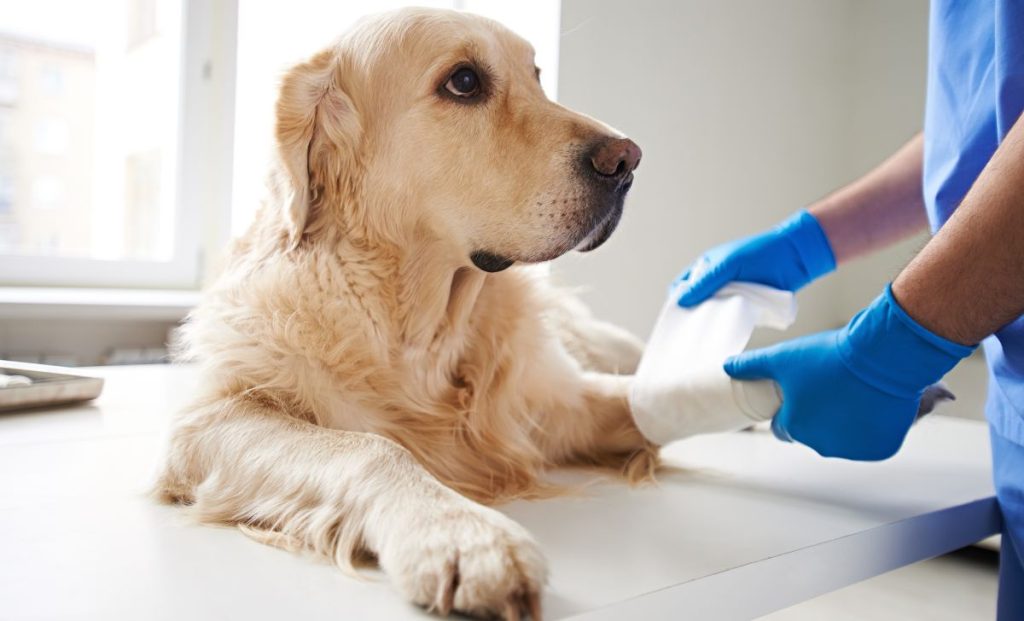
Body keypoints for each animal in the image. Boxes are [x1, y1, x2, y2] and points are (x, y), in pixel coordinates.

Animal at [157, 7, 655, 618]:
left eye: (537, 75)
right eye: (463, 82)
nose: (627, 159)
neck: (419, 329)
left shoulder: (553, 404)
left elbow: (647, 402)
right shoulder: (210, 420)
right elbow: (372, 448)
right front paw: (463, 535)